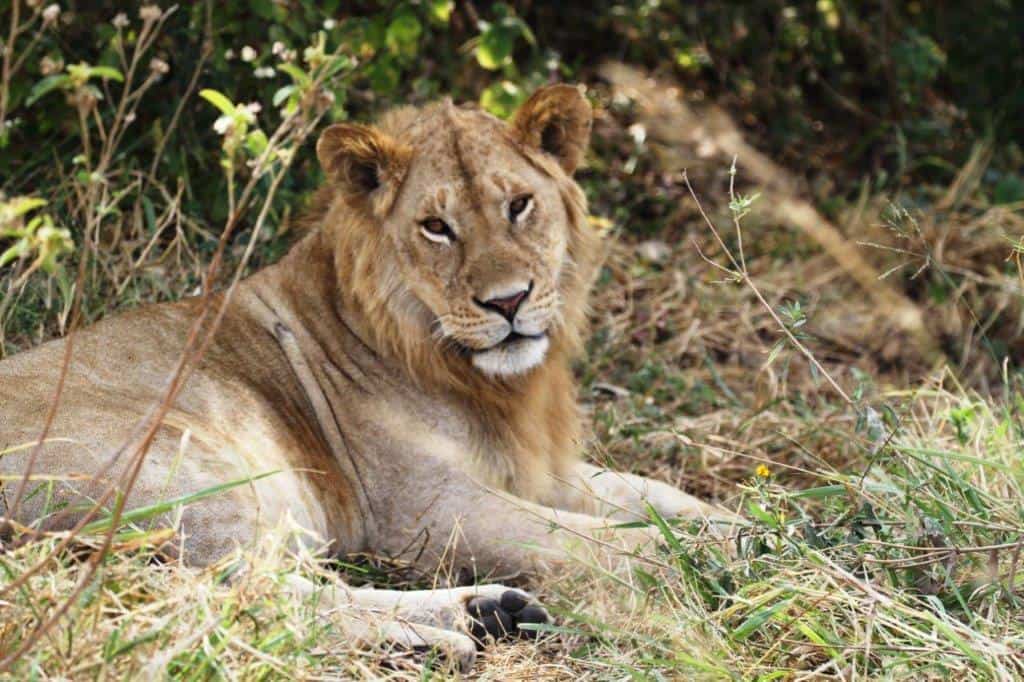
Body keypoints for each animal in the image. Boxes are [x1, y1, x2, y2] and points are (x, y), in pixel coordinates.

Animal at [0, 85, 735, 670]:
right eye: (436, 227)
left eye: (521, 205)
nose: (508, 302)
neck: (482, 381)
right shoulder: (425, 510)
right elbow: (597, 540)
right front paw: (707, 562)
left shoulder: (532, 468)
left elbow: (655, 496)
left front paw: (746, 523)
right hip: (196, 470)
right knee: (236, 601)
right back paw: (445, 637)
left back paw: (488, 613)